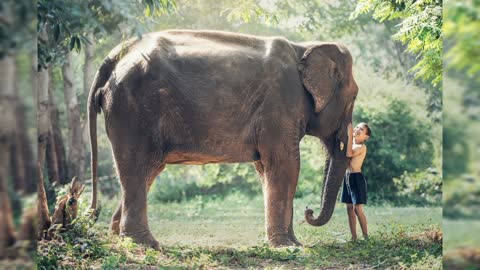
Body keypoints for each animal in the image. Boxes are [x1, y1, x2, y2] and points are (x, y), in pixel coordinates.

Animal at [87, 29, 356, 249]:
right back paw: (146, 245)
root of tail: (115, 56)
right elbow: (285, 165)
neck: (304, 47)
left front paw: (293, 244)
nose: (309, 211)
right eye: (354, 97)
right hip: (132, 110)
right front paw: (287, 247)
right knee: (137, 166)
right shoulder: (280, 105)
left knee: (147, 170)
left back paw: (120, 238)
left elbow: (266, 168)